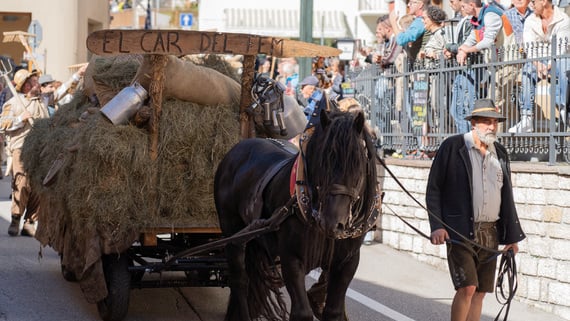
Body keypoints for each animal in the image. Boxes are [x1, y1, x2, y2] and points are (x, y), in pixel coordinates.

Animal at [213, 109, 378, 320]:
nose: (332, 223)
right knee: (240, 281)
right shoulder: (291, 258)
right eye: (322, 164)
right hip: (232, 234)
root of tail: (239, 147)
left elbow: (333, 311)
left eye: (357, 165)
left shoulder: (347, 262)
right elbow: (302, 312)